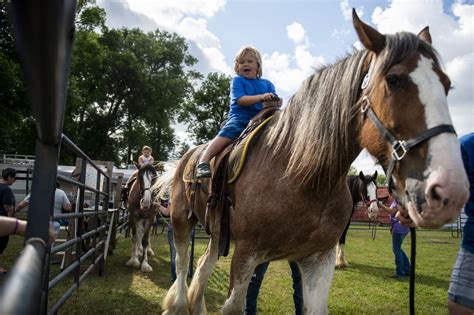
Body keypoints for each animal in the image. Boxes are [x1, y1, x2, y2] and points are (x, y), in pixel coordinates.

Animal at [162, 11, 466, 314]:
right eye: (393, 79)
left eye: (447, 84)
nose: (450, 190)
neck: (299, 174)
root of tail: (187, 159)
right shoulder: (246, 253)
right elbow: (233, 305)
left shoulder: (317, 259)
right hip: (181, 221)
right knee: (182, 265)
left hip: (216, 233)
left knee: (203, 264)